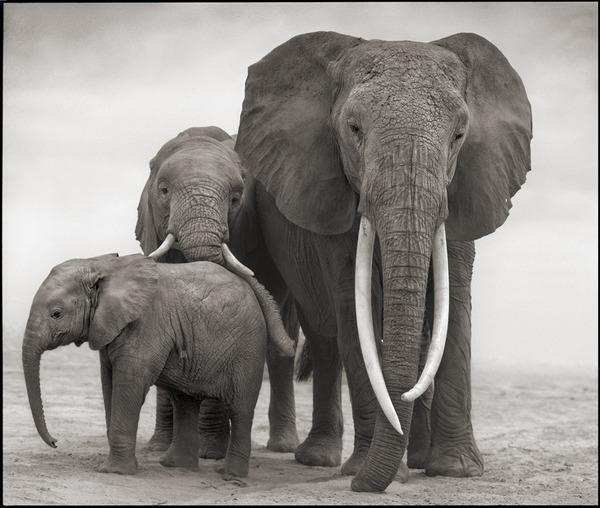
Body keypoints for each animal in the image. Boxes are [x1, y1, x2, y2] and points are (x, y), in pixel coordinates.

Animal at [22, 254, 294, 480]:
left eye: (56, 314)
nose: (55, 441)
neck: (103, 265)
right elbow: (109, 383)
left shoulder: (146, 325)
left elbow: (129, 386)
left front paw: (115, 472)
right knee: (184, 402)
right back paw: (176, 466)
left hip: (247, 348)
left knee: (239, 409)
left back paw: (230, 476)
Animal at [237, 31, 532, 492]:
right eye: (353, 129)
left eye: (459, 135)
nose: (360, 486)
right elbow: (356, 310)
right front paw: (364, 470)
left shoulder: (464, 188)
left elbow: (453, 306)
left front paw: (455, 470)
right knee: (324, 333)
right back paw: (322, 459)